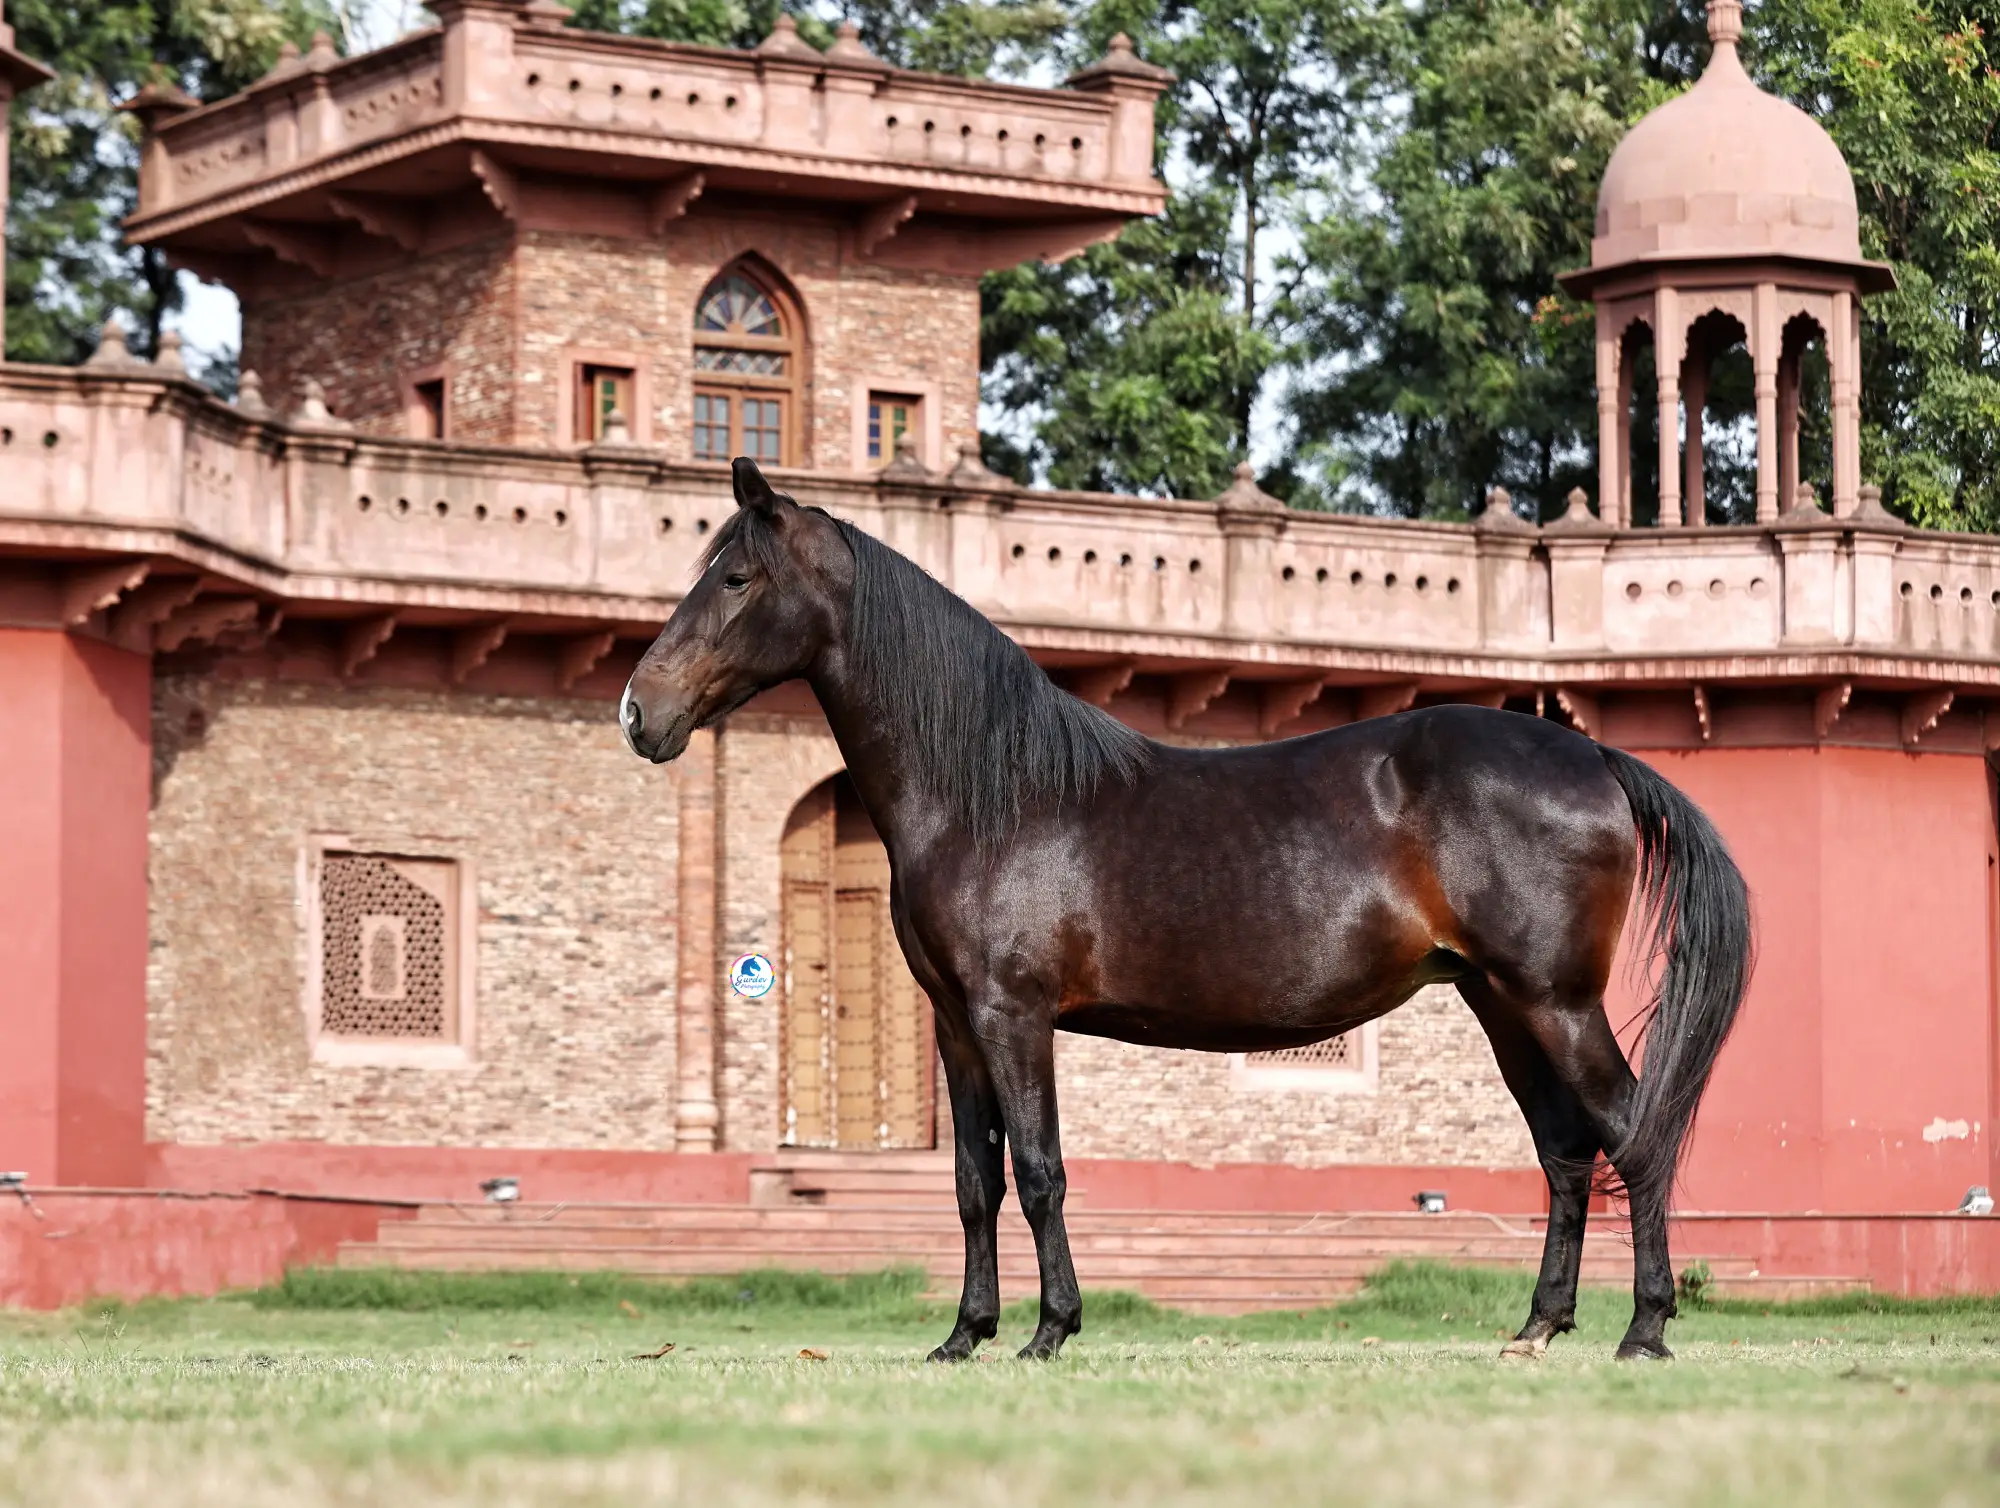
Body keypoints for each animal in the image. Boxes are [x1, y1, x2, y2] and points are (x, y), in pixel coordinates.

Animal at [621, 458, 1753, 1363]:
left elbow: (1038, 1170)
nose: (640, 711)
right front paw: (963, 1335)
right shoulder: (954, 1024)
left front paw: (1048, 1331)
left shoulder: (1012, 1015)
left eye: (734, 577)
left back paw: (1643, 1327)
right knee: (1565, 1149)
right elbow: (974, 1182)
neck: (991, 795)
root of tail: (1593, 755)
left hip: (1555, 1000)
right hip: (1502, 1003)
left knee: (1633, 1132)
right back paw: (1537, 1326)